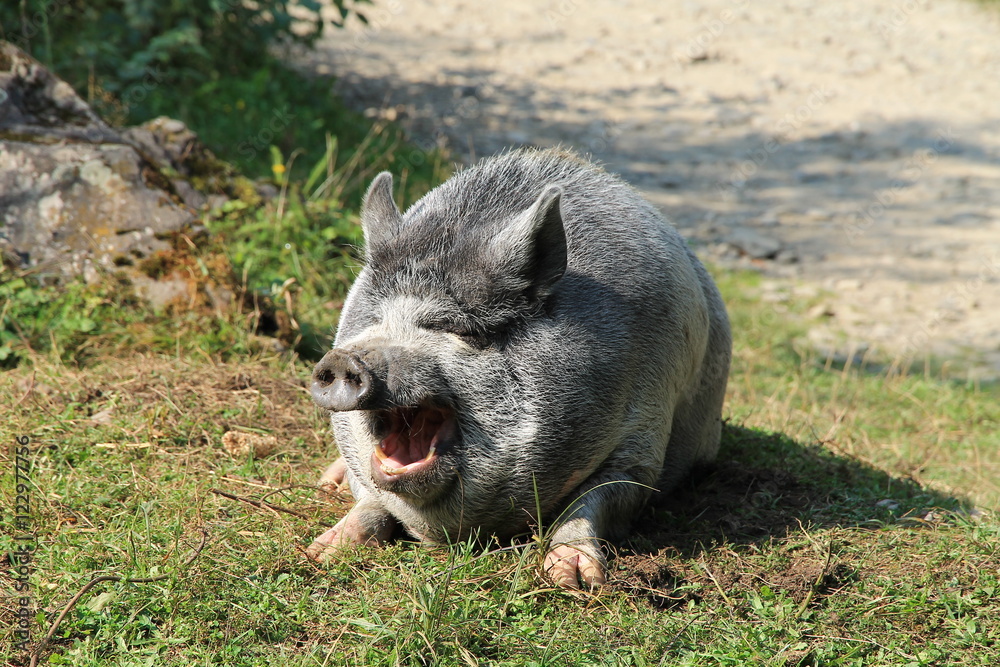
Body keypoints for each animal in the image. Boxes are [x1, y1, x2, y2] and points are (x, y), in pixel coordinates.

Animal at [306, 148, 731, 589]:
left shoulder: (645, 433)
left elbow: (596, 500)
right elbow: (370, 498)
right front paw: (320, 554)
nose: (344, 359)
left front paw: (574, 581)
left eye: (457, 328)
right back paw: (327, 483)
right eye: (376, 320)